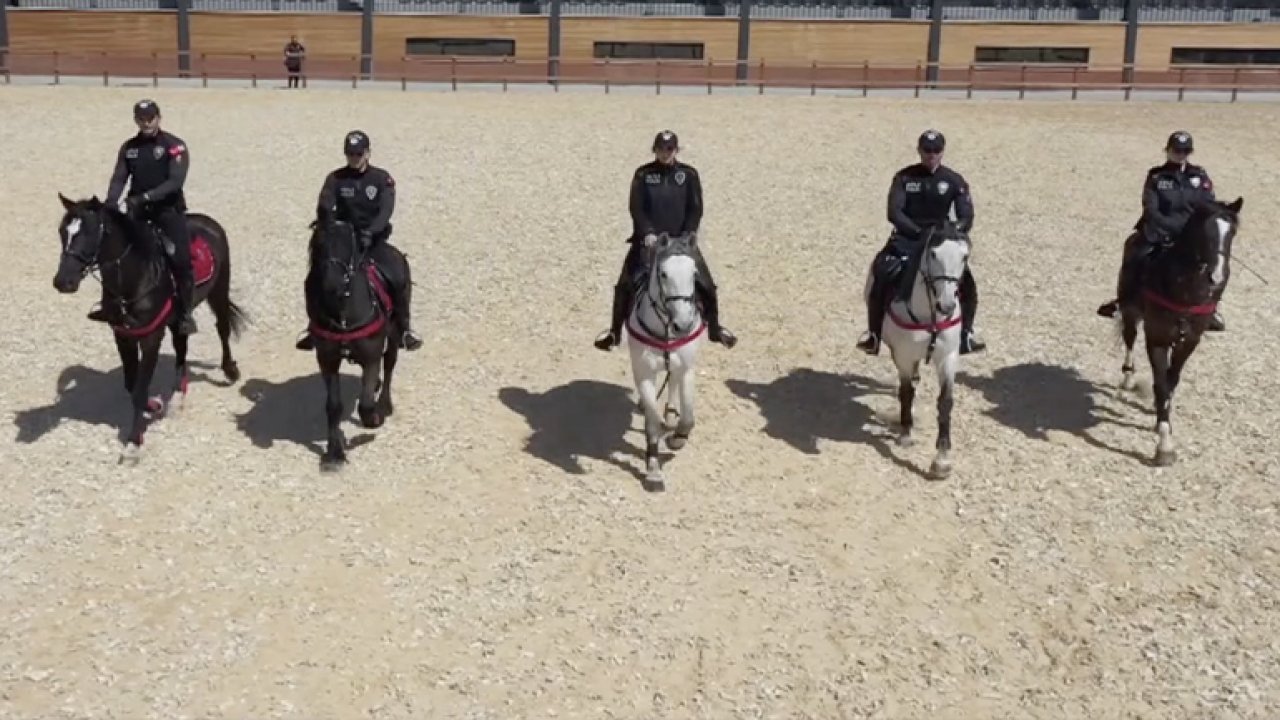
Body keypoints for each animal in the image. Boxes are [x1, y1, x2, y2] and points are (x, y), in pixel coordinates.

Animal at [53, 190, 247, 458]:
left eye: (90, 232)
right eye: (62, 231)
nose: (63, 282)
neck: (134, 279)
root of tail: (209, 223)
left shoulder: (151, 337)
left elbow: (139, 388)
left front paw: (134, 441)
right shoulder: (123, 336)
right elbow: (131, 385)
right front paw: (154, 406)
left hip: (219, 290)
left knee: (222, 328)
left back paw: (230, 371)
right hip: (178, 317)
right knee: (181, 345)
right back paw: (179, 391)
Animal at [303, 212, 399, 471]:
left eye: (348, 245)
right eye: (318, 245)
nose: (332, 284)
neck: (344, 314)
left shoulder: (371, 355)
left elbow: (365, 405)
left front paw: (373, 418)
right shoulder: (327, 360)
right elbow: (333, 407)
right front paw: (335, 452)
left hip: (395, 335)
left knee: (390, 363)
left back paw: (384, 404)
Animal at [622, 229, 706, 486]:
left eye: (694, 273)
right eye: (663, 273)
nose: (683, 325)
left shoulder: (687, 367)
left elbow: (688, 417)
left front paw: (677, 438)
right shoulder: (644, 373)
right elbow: (652, 421)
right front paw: (653, 469)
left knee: (673, 381)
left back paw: (671, 413)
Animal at [860, 221, 967, 479]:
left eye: (965, 256)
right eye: (933, 254)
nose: (946, 305)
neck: (929, 316)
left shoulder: (948, 357)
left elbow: (945, 402)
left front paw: (941, 460)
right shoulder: (904, 357)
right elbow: (906, 392)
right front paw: (906, 434)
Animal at [1116, 196, 1244, 466]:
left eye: (1233, 232)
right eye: (1204, 231)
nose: (1217, 275)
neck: (1185, 294)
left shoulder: (1189, 341)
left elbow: (1171, 380)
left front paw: (1162, 414)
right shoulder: (1157, 339)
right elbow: (1161, 383)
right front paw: (1164, 445)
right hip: (1130, 313)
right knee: (1129, 339)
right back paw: (1128, 378)